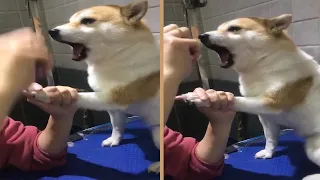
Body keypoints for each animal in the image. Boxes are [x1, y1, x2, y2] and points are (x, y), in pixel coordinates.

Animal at [35, 0, 160, 173]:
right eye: (70, 21)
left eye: (87, 21)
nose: (52, 31)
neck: (117, 56)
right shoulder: (114, 109)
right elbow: (116, 126)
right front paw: (114, 140)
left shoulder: (111, 97)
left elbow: (81, 97)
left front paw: (45, 94)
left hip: (157, 132)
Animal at [179, 14, 320, 179]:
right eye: (219, 28)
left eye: (234, 29)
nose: (201, 36)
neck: (262, 64)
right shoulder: (266, 117)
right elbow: (270, 138)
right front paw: (268, 153)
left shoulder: (270, 102)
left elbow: (236, 99)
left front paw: (200, 97)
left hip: (312, 147)